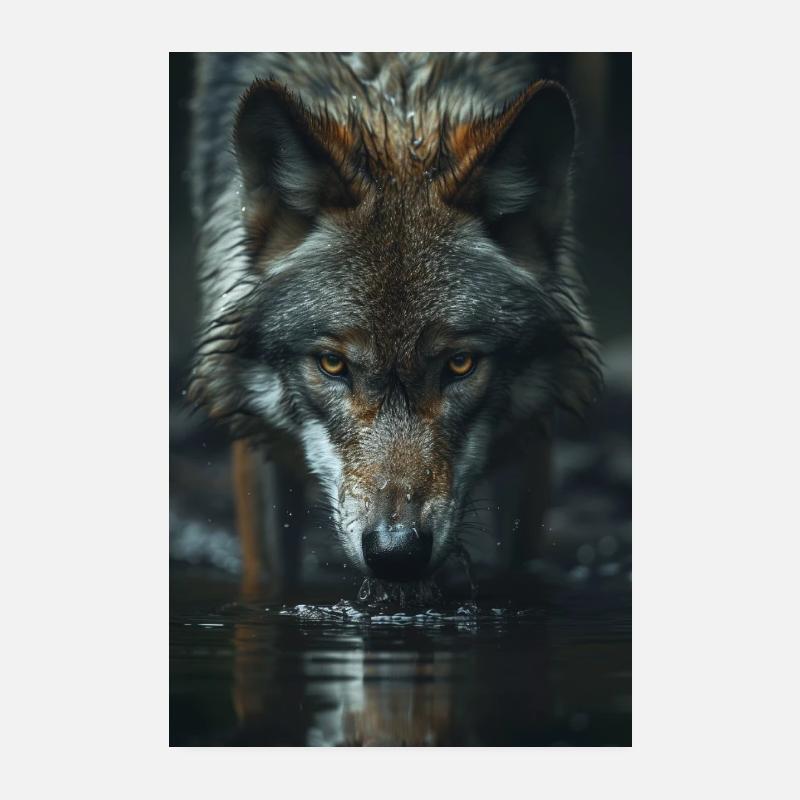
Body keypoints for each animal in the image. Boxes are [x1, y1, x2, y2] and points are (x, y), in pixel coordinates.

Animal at [187, 53, 601, 595]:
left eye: (461, 364)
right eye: (332, 364)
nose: (396, 552)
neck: (397, 94)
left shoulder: (531, 436)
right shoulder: (256, 436)